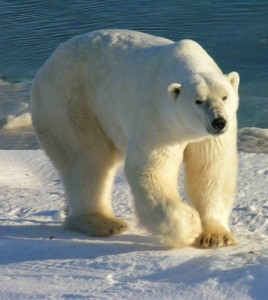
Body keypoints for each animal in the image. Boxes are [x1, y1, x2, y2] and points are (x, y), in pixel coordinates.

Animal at [30, 29, 240, 248]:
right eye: (198, 101)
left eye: (225, 97)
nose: (218, 122)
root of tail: (47, 64)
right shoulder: (158, 119)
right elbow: (152, 169)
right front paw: (190, 224)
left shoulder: (211, 136)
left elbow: (212, 169)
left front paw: (216, 236)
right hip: (70, 102)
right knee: (87, 160)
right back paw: (104, 222)